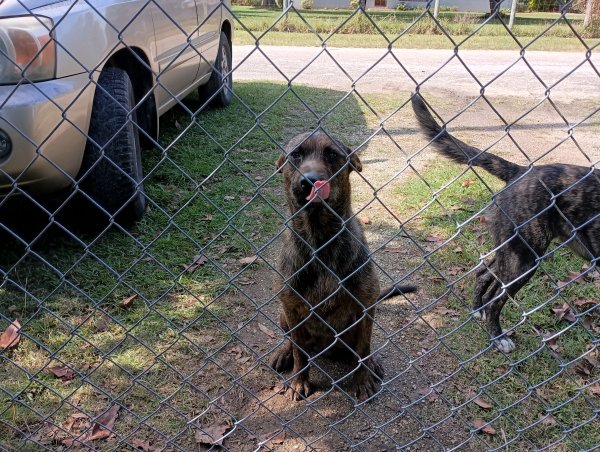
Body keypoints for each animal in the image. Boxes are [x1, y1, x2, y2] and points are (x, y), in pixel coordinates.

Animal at [272, 130, 418, 400]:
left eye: (332, 154)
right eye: (295, 154)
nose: (310, 181)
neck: (320, 241)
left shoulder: (364, 307)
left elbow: (363, 348)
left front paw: (361, 380)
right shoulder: (292, 308)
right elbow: (299, 353)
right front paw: (299, 380)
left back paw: (371, 363)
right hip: (284, 316)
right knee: (293, 342)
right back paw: (283, 353)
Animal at [412, 93, 600, 352]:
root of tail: (521, 171)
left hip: (512, 249)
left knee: (484, 273)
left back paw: (478, 310)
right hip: (523, 260)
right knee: (496, 300)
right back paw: (497, 336)